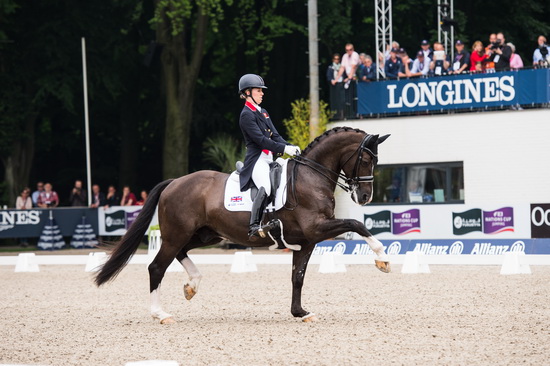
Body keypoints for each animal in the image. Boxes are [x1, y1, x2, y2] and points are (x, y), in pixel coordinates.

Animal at [97, 126, 394, 324]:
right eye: (366, 159)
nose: (365, 197)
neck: (311, 177)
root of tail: (174, 182)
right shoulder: (317, 228)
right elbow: (356, 224)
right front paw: (382, 258)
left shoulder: (306, 240)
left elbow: (297, 277)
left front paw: (300, 313)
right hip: (176, 234)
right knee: (157, 267)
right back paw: (161, 314)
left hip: (205, 235)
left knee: (181, 254)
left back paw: (192, 285)